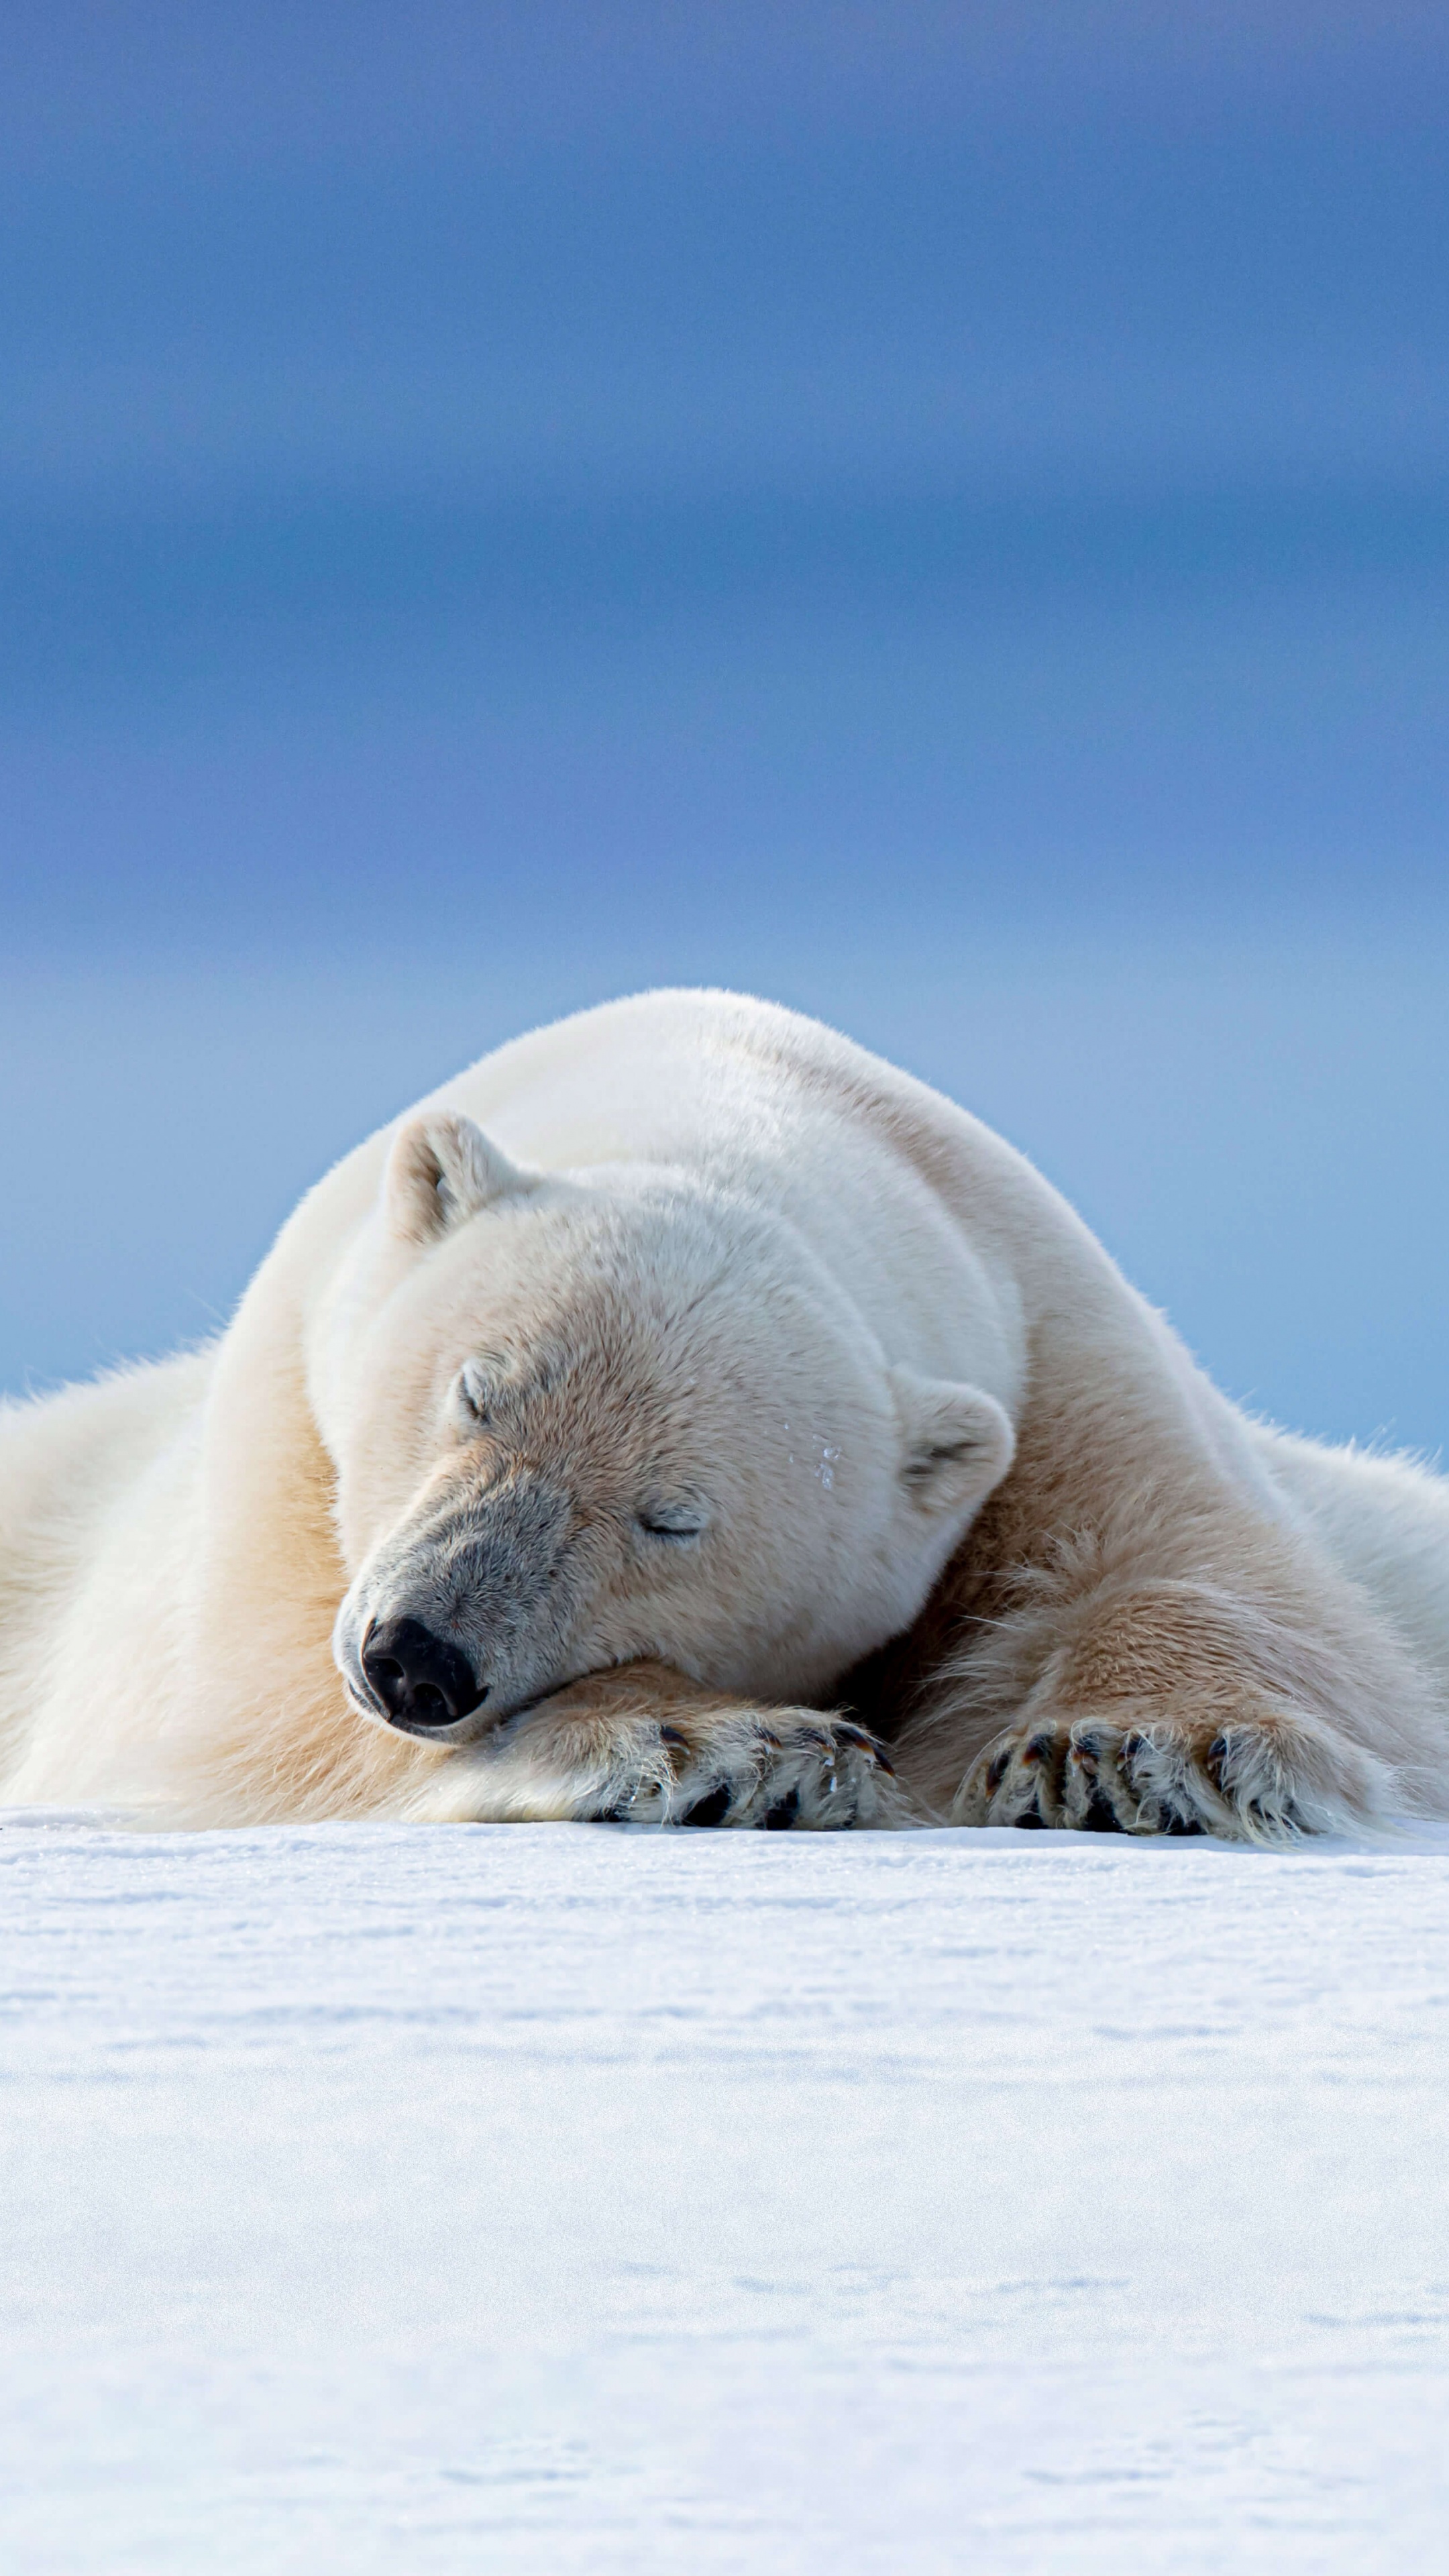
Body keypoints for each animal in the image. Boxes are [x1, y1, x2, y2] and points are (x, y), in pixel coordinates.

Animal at [2, 987, 1447, 1841]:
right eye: (476, 1390)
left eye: (670, 1520)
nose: (419, 1657)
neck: (737, 1096)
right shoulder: (281, 1447)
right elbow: (259, 1715)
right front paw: (725, 1743)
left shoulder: (1060, 1354)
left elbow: (1228, 1579)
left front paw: (1133, 1747)